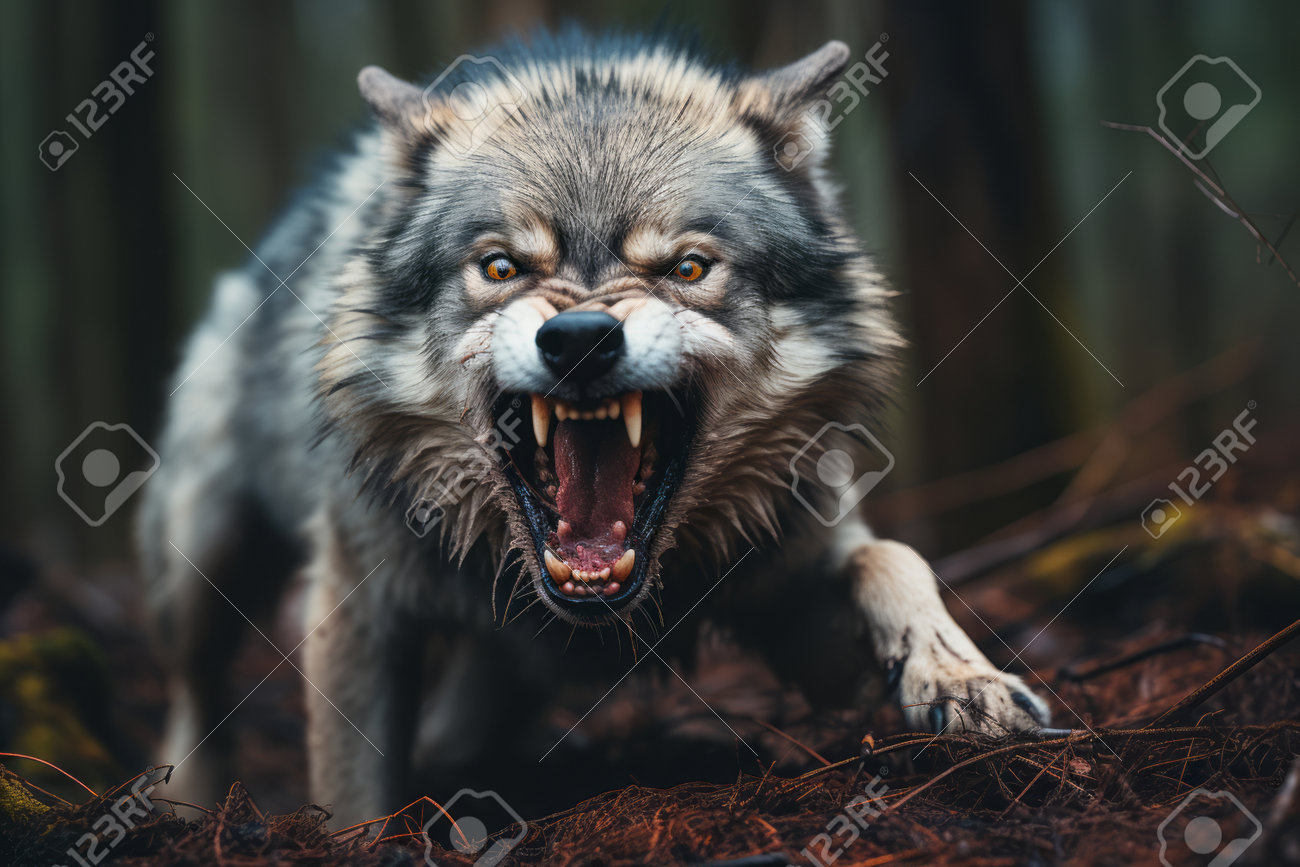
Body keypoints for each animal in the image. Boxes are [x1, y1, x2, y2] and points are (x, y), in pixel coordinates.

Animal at [138, 31, 1049, 828]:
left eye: (688, 268)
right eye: (501, 267)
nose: (578, 339)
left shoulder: (803, 609)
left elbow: (890, 558)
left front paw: (963, 679)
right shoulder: (356, 610)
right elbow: (354, 797)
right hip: (208, 565)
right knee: (193, 686)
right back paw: (182, 800)